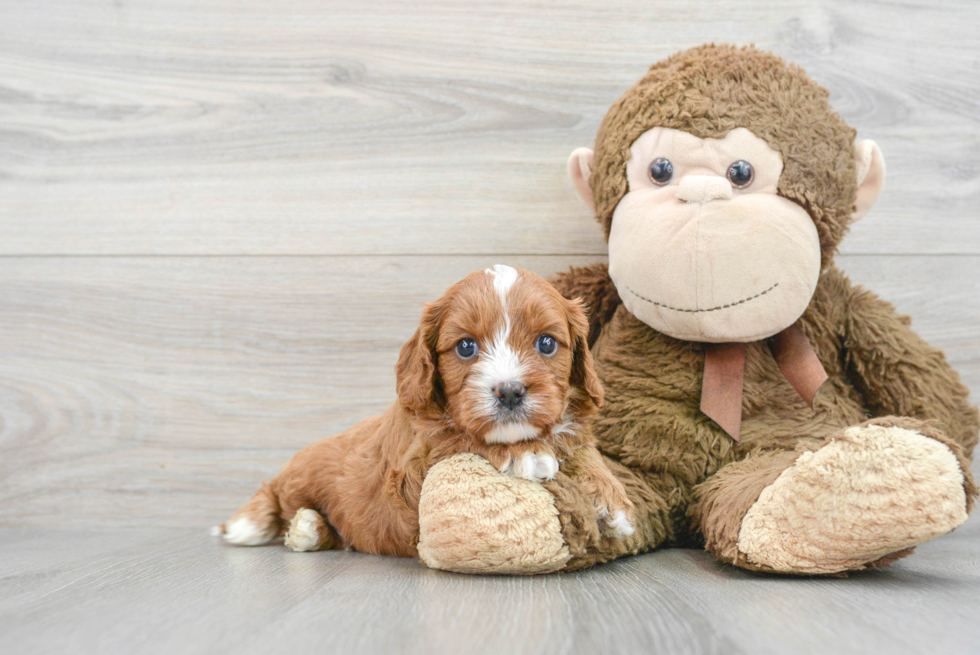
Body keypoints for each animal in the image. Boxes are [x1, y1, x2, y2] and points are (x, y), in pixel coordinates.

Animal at [218, 264, 636, 556]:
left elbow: (580, 446)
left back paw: (310, 529)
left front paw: (614, 501)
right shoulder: (409, 471)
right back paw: (285, 525)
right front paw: (526, 453)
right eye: (465, 347)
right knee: (275, 494)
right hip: (301, 473)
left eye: (547, 343)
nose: (510, 392)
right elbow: (460, 435)